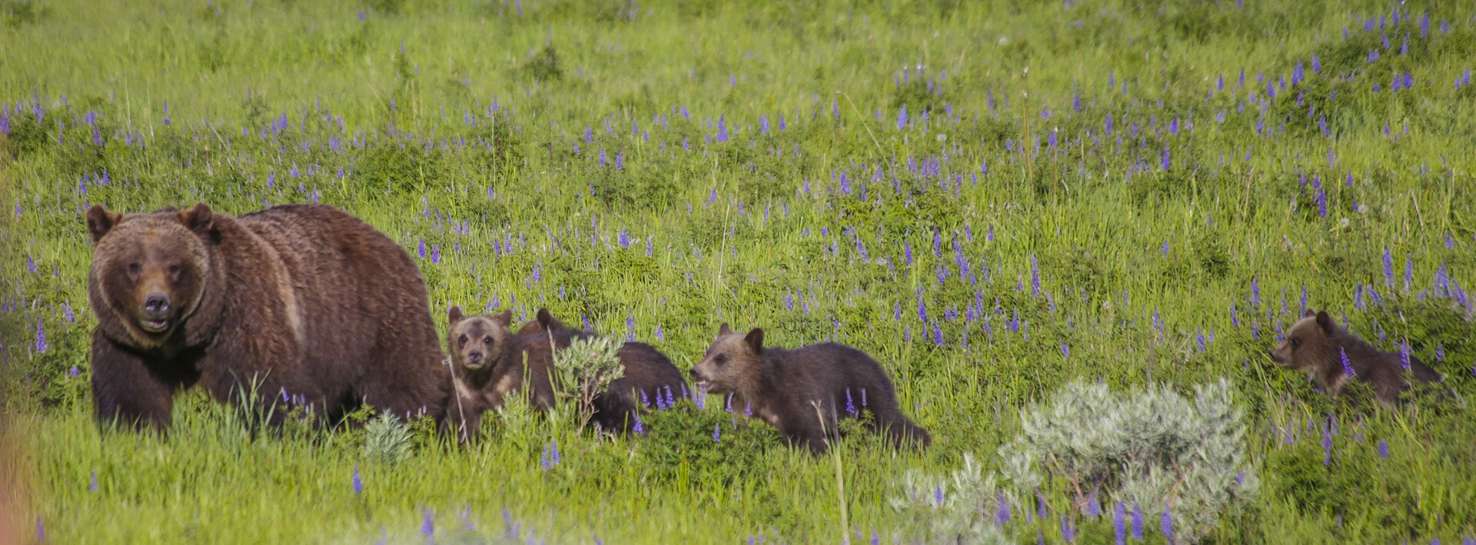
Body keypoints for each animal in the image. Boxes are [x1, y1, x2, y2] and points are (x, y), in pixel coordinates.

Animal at [85, 203, 449, 431]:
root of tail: (387, 241)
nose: (156, 304)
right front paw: (136, 432)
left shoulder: (245, 318)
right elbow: (131, 399)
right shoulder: (128, 348)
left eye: (174, 267)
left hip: (375, 319)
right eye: (133, 266)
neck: (186, 339)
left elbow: (276, 387)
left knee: (403, 382)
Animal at [690, 323, 931, 454]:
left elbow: (808, 435)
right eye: (708, 351)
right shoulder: (741, 408)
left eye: (720, 358)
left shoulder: (795, 397)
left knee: (891, 422)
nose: (695, 371)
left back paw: (921, 441)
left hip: (866, 396)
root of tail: (876, 364)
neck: (756, 388)